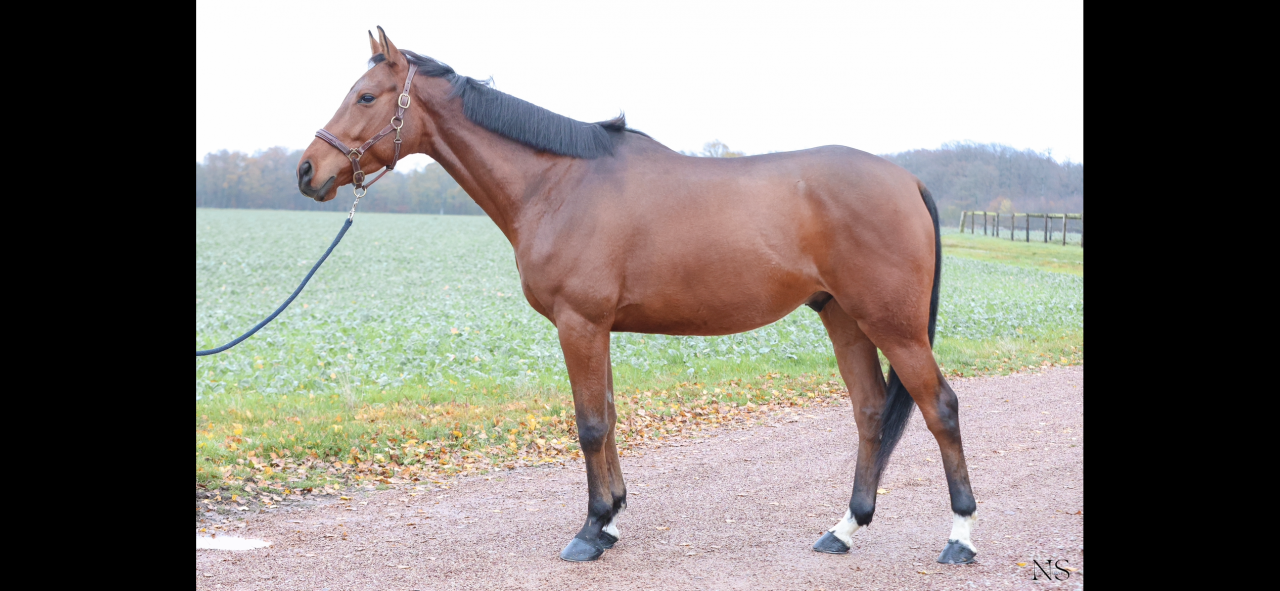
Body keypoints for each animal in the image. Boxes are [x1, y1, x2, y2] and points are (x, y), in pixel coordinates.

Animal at [296, 27, 978, 564]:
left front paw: (591, 529)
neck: (558, 182)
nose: (307, 171)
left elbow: (591, 424)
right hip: (844, 317)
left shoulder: (579, 323)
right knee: (870, 411)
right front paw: (613, 519)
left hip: (893, 325)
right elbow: (611, 416)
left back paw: (960, 537)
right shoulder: (597, 328)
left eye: (365, 96)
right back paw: (844, 529)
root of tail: (907, 180)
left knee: (940, 407)